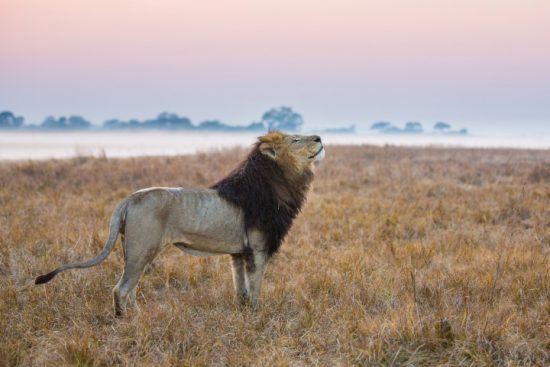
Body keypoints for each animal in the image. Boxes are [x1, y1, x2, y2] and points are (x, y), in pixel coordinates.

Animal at [34, 132, 324, 316]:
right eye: (296, 139)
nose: (320, 138)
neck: (281, 180)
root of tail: (130, 198)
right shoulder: (258, 250)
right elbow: (255, 289)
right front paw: (256, 316)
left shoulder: (239, 253)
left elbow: (240, 289)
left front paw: (242, 312)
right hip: (143, 248)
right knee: (121, 289)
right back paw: (125, 321)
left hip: (135, 249)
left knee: (130, 289)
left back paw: (140, 317)